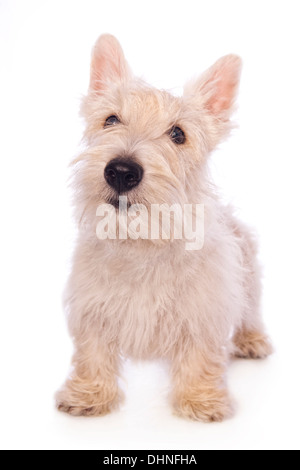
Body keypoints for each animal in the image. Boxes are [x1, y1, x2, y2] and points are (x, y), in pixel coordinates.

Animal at [55, 34, 274, 422]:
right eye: (111, 119)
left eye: (178, 134)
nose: (121, 171)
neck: (142, 240)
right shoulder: (91, 308)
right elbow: (91, 353)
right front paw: (88, 394)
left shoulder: (205, 309)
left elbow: (201, 354)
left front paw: (201, 400)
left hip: (248, 278)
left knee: (251, 311)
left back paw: (252, 340)